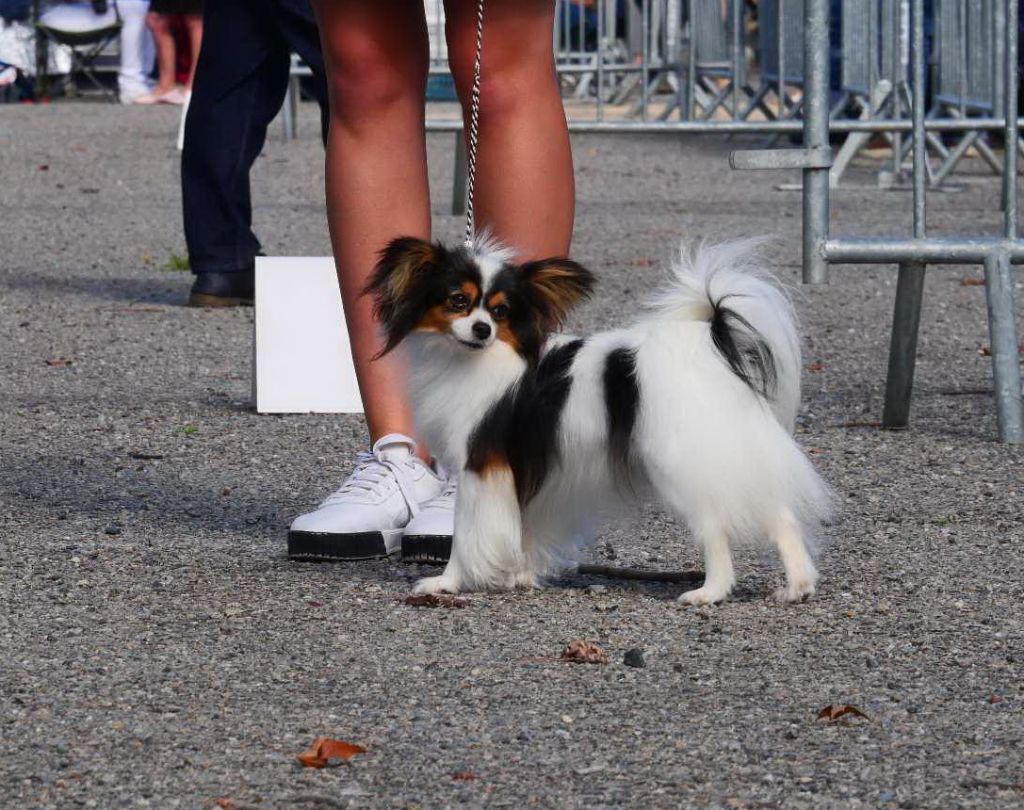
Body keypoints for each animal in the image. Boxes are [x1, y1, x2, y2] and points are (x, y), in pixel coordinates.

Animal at [366, 234, 831, 602]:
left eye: (499, 312)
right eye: (458, 301)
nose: (482, 330)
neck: (479, 360)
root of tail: (710, 346)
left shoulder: (482, 466)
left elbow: (466, 534)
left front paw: (448, 583)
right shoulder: (537, 474)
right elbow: (525, 527)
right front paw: (520, 576)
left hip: (681, 467)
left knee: (716, 528)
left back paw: (709, 592)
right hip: (730, 455)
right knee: (779, 514)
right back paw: (798, 585)